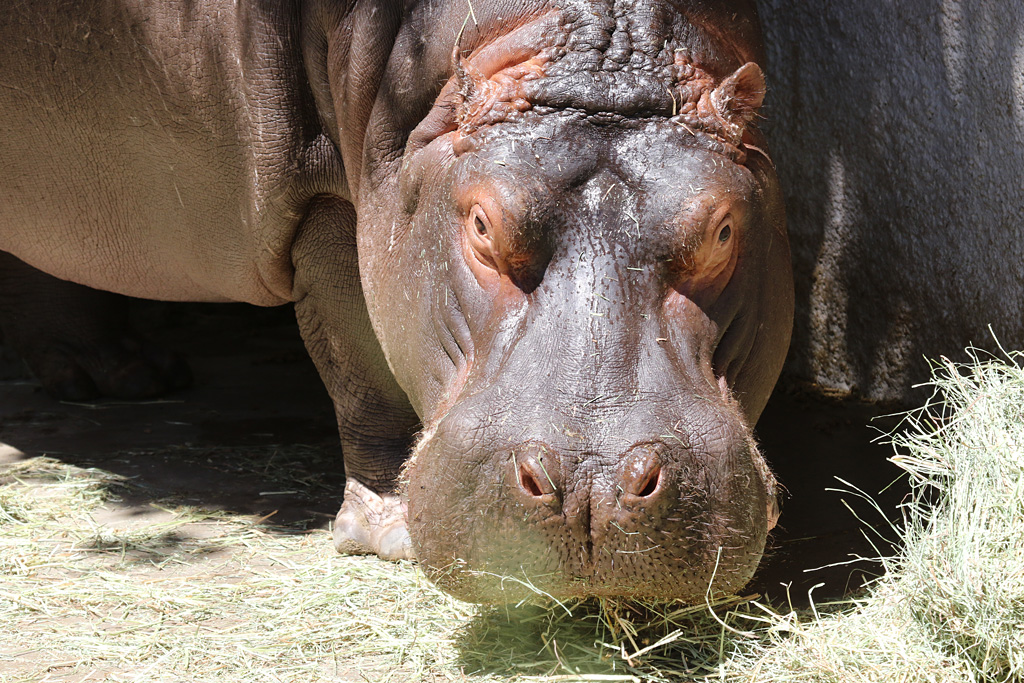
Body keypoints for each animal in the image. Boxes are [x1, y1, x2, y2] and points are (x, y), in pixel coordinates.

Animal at [0, 0, 793, 603]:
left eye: (722, 228)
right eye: (481, 223)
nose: (589, 486)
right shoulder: (324, 197)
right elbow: (363, 365)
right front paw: (391, 535)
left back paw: (122, 376)